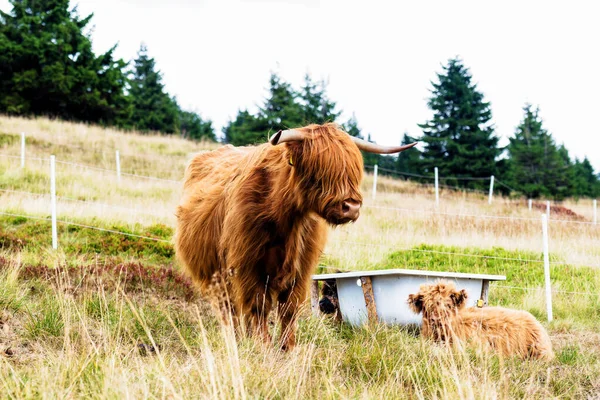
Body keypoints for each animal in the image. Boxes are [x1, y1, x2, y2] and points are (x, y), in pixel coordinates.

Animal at [176, 122, 414, 350]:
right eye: (319, 169)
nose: (352, 207)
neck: (286, 219)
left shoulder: (301, 269)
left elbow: (289, 308)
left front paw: (287, 347)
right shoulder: (248, 266)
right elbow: (258, 305)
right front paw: (263, 345)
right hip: (214, 274)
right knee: (229, 308)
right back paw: (235, 339)